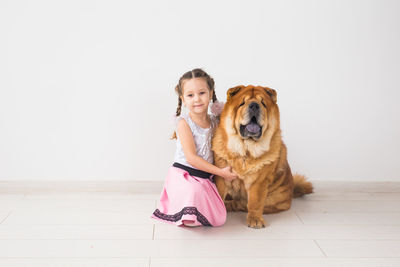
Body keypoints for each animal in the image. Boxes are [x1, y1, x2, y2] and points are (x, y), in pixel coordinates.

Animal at [211, 85, 314, 229]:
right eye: (242, 103)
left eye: (263, 104)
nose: (254, 105)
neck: (246, 150)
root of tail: (292, 189)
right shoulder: (221, 176)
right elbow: (219, 194)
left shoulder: (258, 182)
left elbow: (255, 202)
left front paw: (255, 220)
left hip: (273, 200)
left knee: (242, 204)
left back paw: (229, 206)